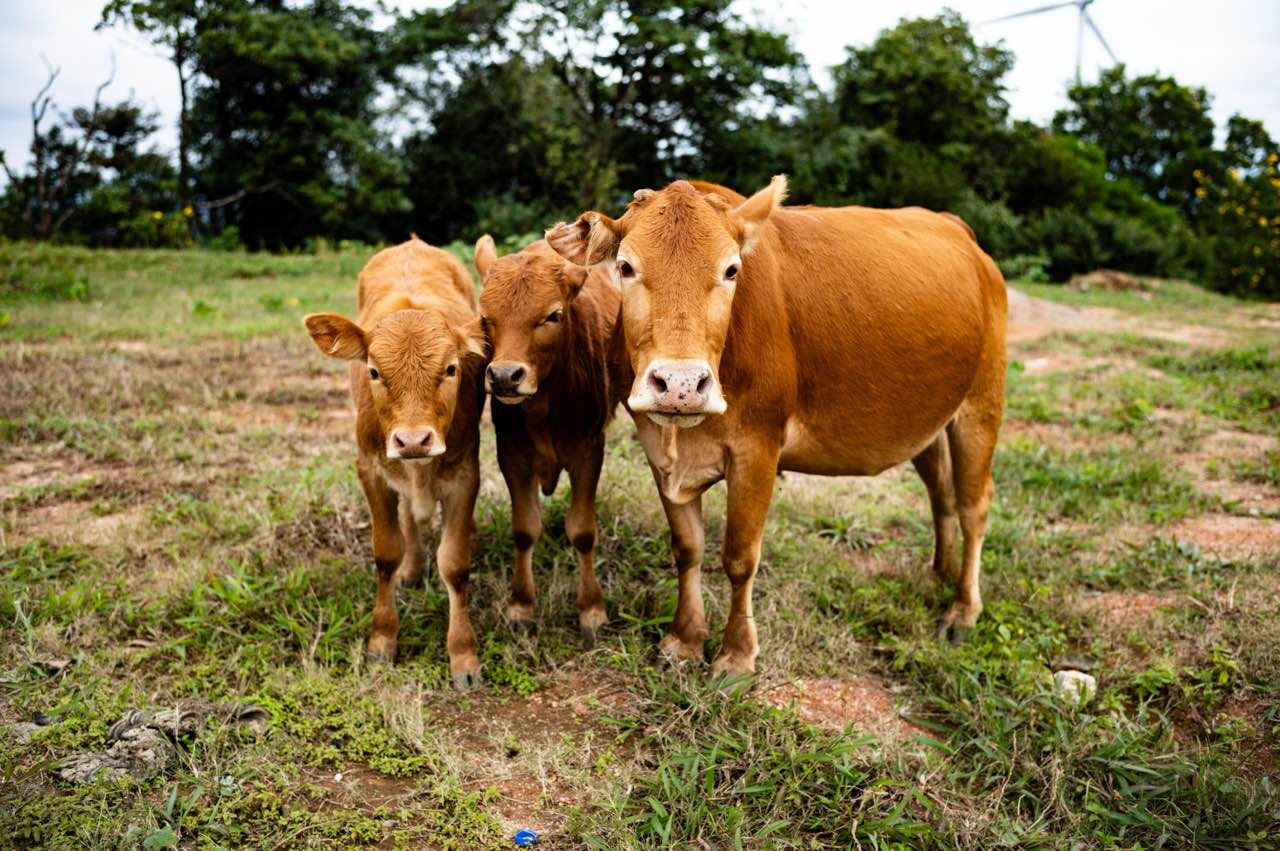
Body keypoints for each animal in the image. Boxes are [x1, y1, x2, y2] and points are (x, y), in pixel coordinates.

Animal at [303, 237, 487, 689]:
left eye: (451, 368)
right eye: (373, 371)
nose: (414, 440)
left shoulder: (464, 473)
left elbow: (455, 564)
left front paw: (463, 655)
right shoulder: (371, 469)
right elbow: (385, 553)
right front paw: (382, 640)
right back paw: (412, 565)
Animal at [473, 236, 627, 644]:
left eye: (552, 315)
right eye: (486, 318)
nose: (504, 376)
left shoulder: (589, 451)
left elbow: (583, 531)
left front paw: (592, 609)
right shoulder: (511, 454)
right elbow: (525, 529)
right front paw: (521, 606)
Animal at [546, 178, 1007, 680]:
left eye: (731, 270)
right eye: (626, 267)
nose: (681, 385)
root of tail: (959, 229)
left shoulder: (758, 448)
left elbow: (740, 557)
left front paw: (735, 655)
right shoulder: (658, 447)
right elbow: (687, 548)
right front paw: (684, 640)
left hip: (981, 404)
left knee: (974, 505)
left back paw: (962, 610)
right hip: (927, 418)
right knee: (941, 492)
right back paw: (941, 571)